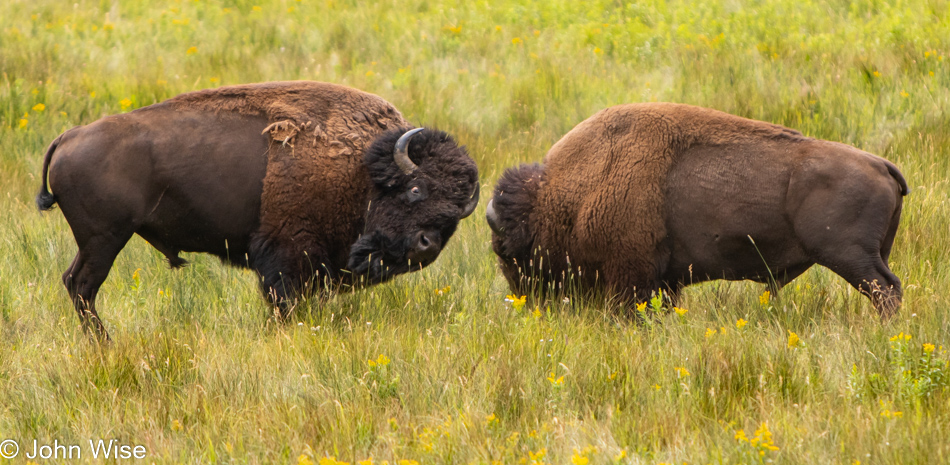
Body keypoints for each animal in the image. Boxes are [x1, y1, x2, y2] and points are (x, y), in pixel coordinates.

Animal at [38, 80, 484, 340]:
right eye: (415, 189)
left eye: (453, 217)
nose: (426, 245)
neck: (362, 168)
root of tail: (69, 136)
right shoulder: (287, 255)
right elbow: (284, 302)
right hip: (105, 239)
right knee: (83, 286)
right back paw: (105, 344)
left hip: (97, 241)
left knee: (74, 282)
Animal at [488, 103, 912, 318]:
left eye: (507, 251)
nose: (527, 303)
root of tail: (880, 163)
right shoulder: (662, 281)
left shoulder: (631, 276)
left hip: (850, 257)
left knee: (886, 289)